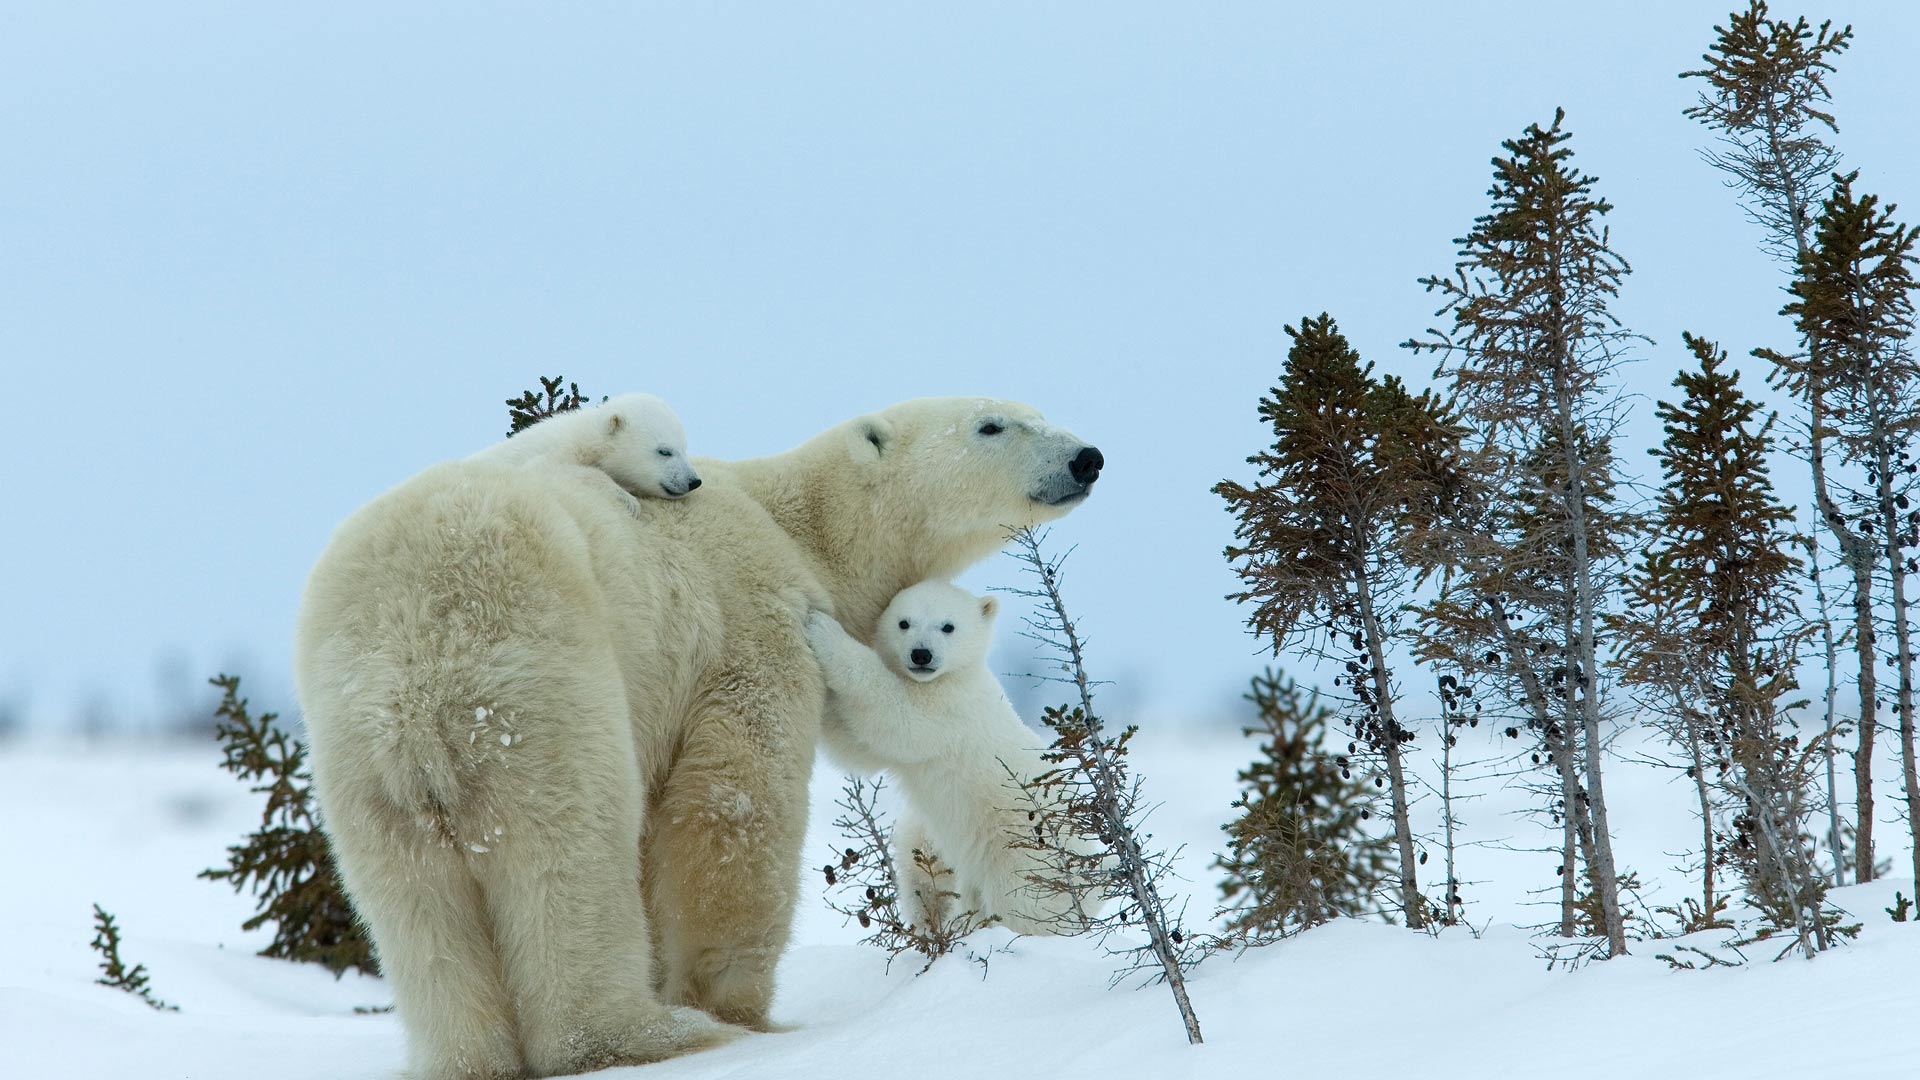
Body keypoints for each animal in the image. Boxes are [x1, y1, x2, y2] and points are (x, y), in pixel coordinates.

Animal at [299, 397, 1113, 1076]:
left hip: (361, 749)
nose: (1088, 458)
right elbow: (735, 801)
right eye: (993, 424)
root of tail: (411, 645)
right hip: (536, 669)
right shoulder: (744, 617)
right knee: (572, 846)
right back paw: (652, 1033)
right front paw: (736, 1008)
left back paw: (469, 1058)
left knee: (411, 899)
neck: (794, 521)